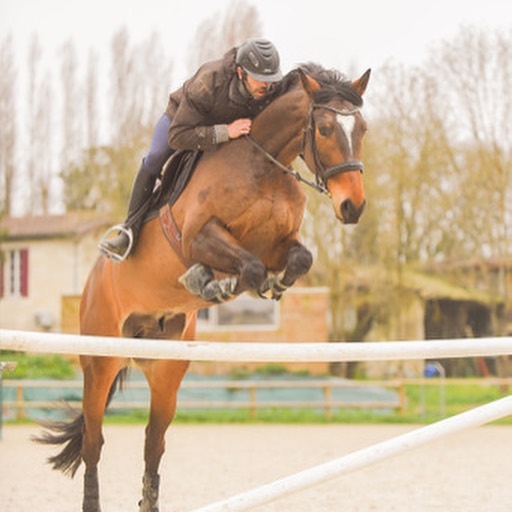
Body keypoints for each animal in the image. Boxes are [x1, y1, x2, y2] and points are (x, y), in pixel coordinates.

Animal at [37, 64, 372, 512]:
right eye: (323, 128)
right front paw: (213, 281)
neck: (262, 165)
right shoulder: (198, 238)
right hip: (100, 360)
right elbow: (245, 266)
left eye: (363, 129)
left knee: (153, 442)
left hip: (167, 369)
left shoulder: (277, 245)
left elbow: (296, 260)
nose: (353, 207)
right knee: (94, 442)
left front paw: (261, 284)